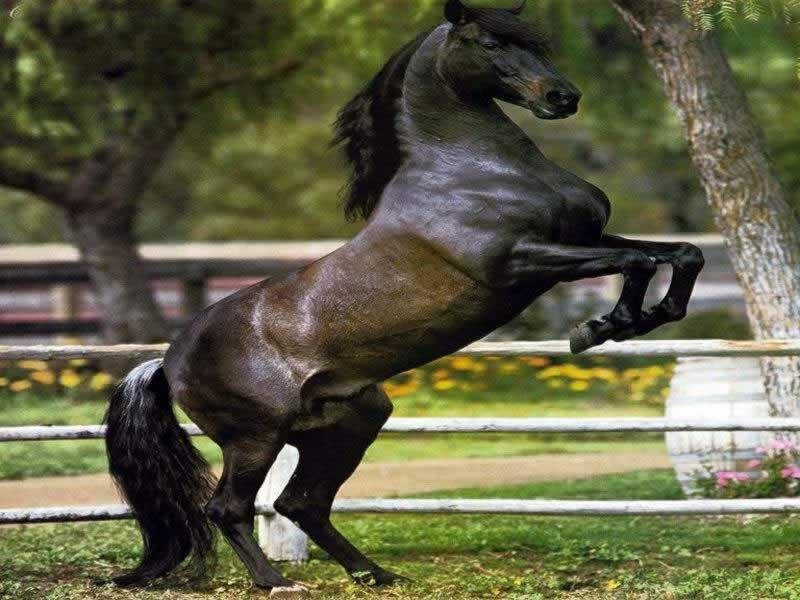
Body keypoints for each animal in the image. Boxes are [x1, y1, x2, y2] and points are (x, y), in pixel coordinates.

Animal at [104, 0, 704, 591]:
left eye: (535, 43)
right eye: (491, 43)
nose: (563, 97)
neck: (469, 170)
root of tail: (166, 361)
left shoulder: (583, 240)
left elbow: (680, 253)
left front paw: (643, 318)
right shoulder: (523, 261)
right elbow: (639, 261)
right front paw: (601, 327)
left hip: (348, 424)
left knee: (302, 503)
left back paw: (375, 574)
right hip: (256, 438)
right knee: (228, 508)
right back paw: (277, 581)